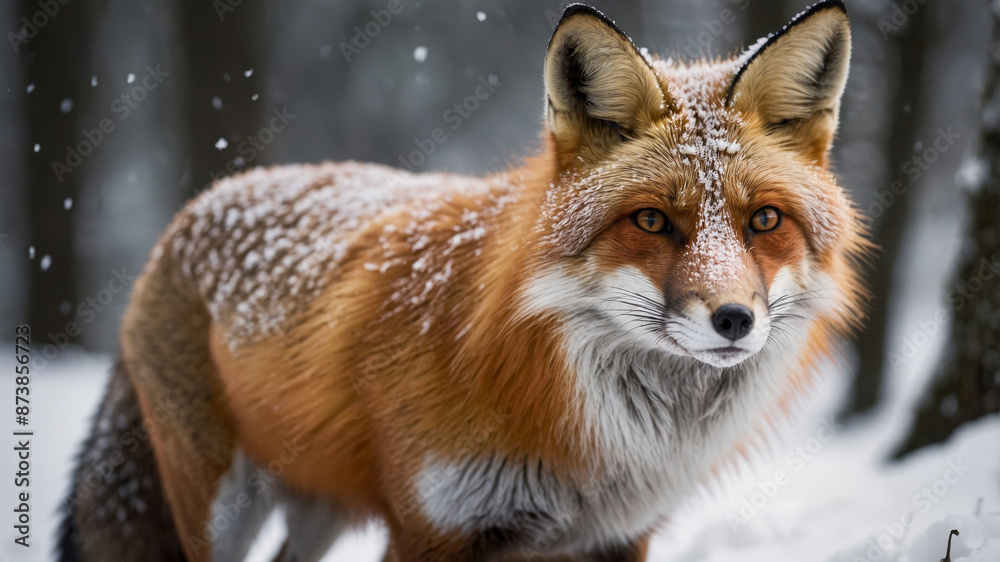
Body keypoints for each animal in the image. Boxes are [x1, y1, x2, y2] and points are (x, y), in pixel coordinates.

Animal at [58, 1, 866, 561]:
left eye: (764, 220)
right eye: (651, 221)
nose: (734, 319)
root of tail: (201, 202)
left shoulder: (614, 537)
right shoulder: (433, 527)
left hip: (317, 507)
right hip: (218, 506)